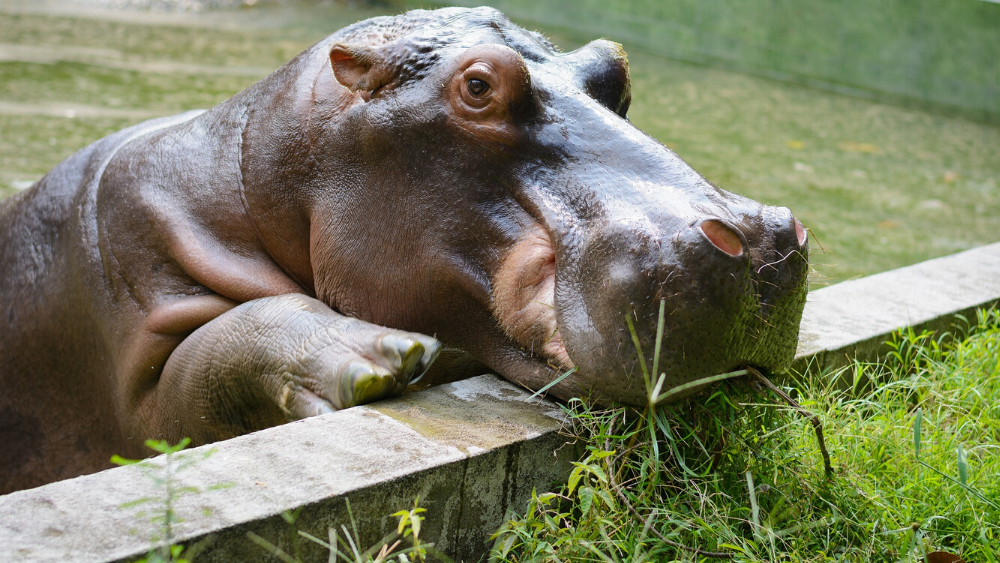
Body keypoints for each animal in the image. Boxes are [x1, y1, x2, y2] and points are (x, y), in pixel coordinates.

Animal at [0, 7, 808, 494]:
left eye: (616, 68)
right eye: (478, 85)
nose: (760, 240)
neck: (257, 176)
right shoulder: (134, 314)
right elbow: (206, 361)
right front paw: (380, 359)